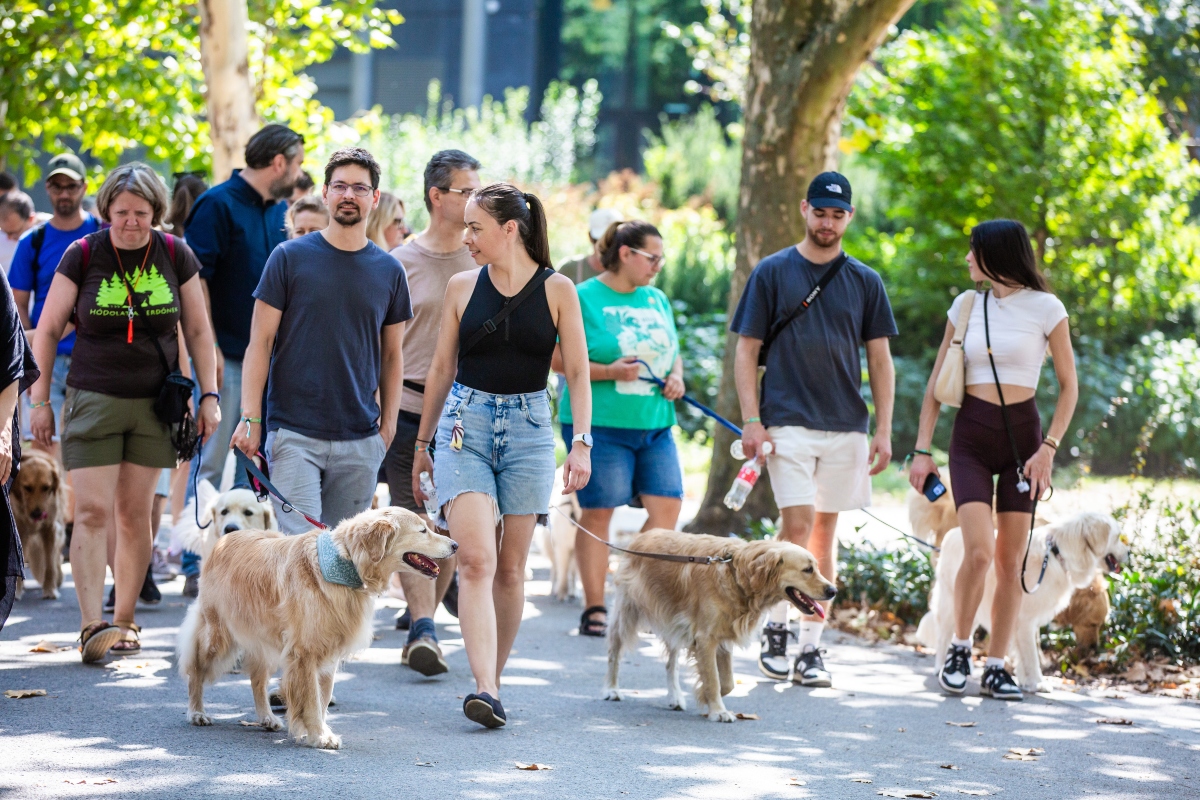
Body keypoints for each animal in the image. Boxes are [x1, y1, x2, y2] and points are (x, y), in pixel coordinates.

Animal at [176, 510, 453, 748]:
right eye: (423, 530)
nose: (455, 545)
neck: (343, 564)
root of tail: (226, 538)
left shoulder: (328, 653)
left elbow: (322, 699)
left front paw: (319, 731)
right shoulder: (305, 653)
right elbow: (311, 698)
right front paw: (319, 736)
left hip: (265, 640)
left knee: (257, 680)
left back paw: (267, 717)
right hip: (217, 635)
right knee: (196, 670)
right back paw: (196, 712)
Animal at [604, 532, 840, 724]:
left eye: (817, 568)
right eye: (807, 570)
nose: (833, 591)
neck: (736, 573)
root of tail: (640, 536)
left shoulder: (722, 639)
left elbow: (726, 683)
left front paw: (703, 697)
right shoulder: (706, 639)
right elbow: (714, 679)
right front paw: (717, 710)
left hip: (674, 625)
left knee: (671, 665)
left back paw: (675, 697)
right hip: (625, 615)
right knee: (614, 654)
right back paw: (612, 689)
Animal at [916, 515, 1123, 690]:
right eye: (1117, 537)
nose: (1127, 553)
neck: (1057, 553)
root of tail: (951, 534)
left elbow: (1026, 651)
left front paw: (1025, 680)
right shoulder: (1025, 621)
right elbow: (1031, 654)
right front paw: (1037, 682)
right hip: (952, 602)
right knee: (944, 637)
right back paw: (942, 667)